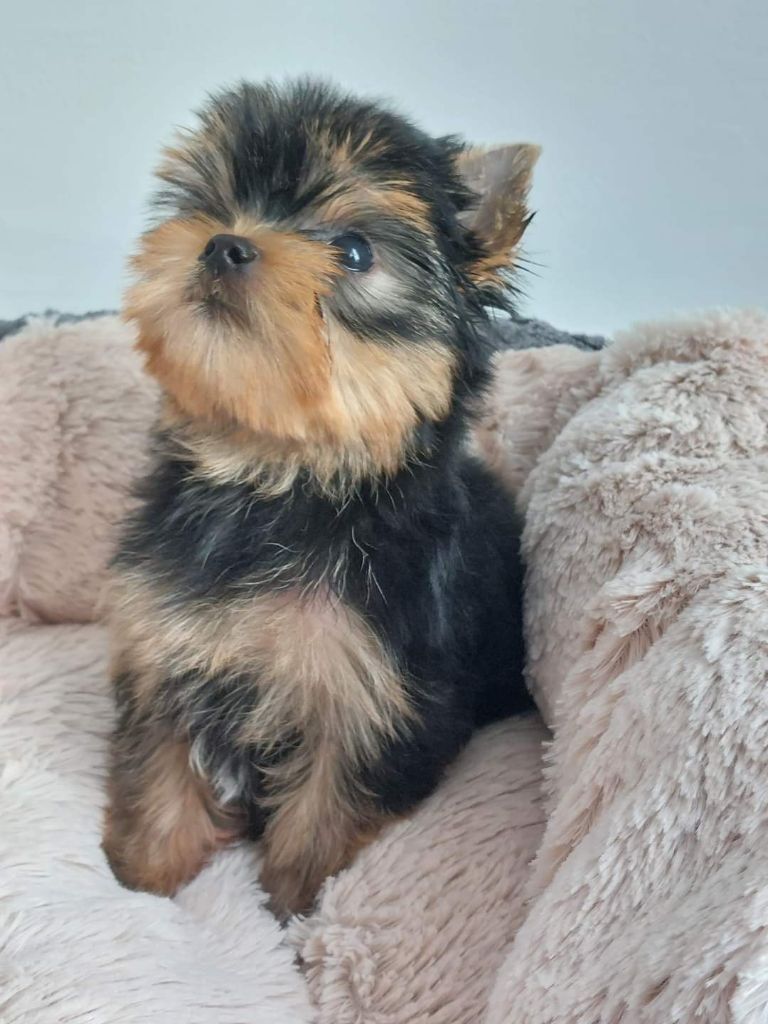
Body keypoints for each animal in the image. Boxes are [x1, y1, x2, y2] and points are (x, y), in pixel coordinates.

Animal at [103, 79, 538, 917]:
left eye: (356, 250)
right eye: (214, 200)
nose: (223, 244)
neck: (280, 478)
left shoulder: (373, 698)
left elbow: (325, 816)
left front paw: (296, 911)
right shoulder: (166, 646)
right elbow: (162, 769)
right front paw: (144, 883)